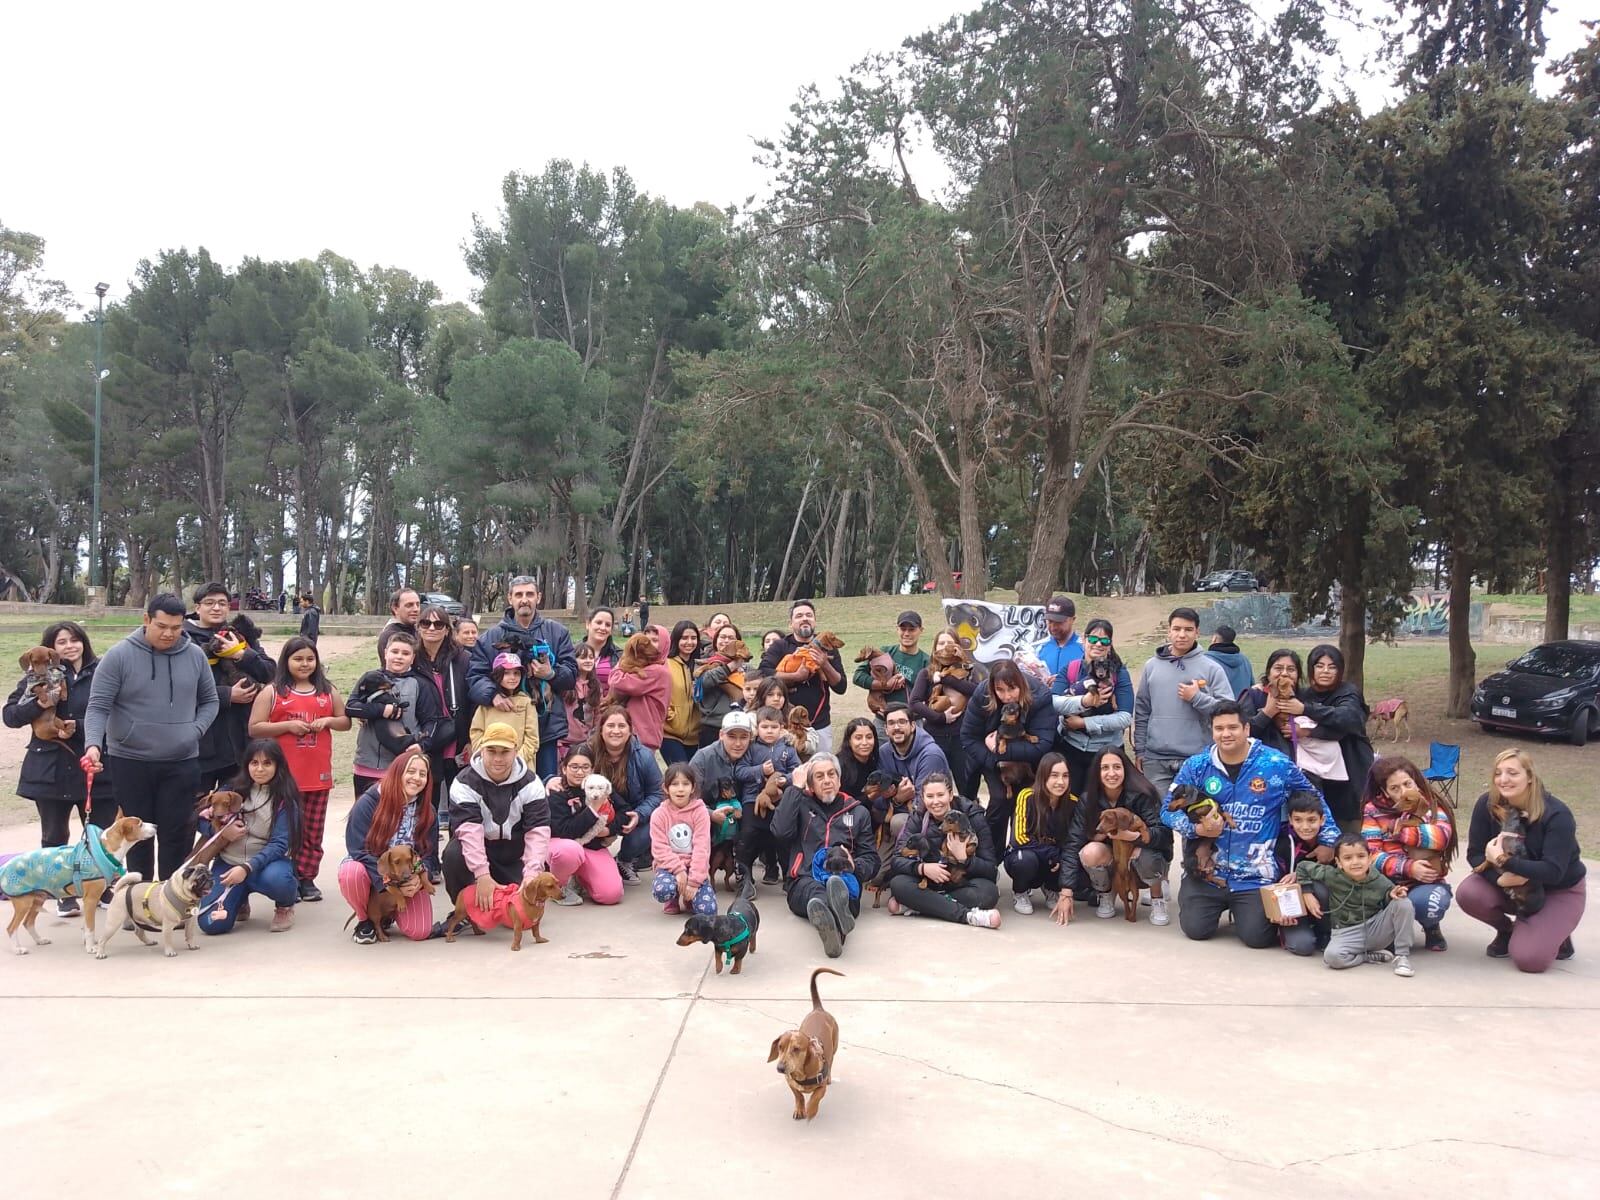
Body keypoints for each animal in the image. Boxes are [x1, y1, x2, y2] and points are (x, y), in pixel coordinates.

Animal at [1, 819, 156, 960]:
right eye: (140, 824)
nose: (155, 825)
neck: (105, 851)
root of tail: (5, 866)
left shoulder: (89, 900)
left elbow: (86, 925)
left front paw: (88, 943)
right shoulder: (91, 899)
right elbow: (90, 926)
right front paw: (91, 948)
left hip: (38, 899)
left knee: (28, 923)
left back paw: (39, 940)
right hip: (24, 903)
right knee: (11, 928)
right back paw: (18, 949)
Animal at [764, 966, 844, 1126]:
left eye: (796, 1049)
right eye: (780, 1047)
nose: (780, 1068)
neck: (801, 1073)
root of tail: (818, 1009)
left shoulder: (821, 1086)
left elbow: (815, 1097)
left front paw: (811, 1110)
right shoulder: (790, 1082)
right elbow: (798, 1096)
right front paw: (800, 1109)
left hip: (834, 1049)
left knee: (831, 1062)